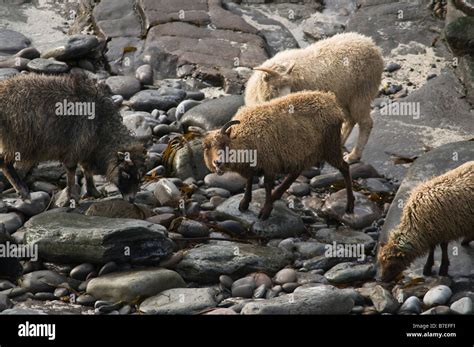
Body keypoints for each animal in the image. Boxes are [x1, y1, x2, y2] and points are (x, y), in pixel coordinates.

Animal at [0, 73, 146, 204]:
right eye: (126, 174)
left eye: (140, 177)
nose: (132, 200)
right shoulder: (76, 146)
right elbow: (71, 170)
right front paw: (70, 197)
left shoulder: (86, 148)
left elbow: (86, 169)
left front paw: (94, 192)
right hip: (15, 141)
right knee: (4, 162)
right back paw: (23, 191)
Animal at [203, 89, 356, 220]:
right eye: (206, 147)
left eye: (224, 143)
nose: (218, 162)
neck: (243, 137)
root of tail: (330, 100)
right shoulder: (254, 165)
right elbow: (249, 181)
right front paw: (244, 203)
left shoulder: (269, 162)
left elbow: (267, 184)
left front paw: (265, 211)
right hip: (304, 152)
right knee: (296, 172)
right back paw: (277, 194)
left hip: (330, 146)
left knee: (344, 167)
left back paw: (350, 205)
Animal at [244, 32, 386, 163]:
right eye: (274, 87)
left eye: (290, 87)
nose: (287, 104)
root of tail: (372, 45)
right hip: (344, 97)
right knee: (350, 120)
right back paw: (339, 143)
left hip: (361, 93)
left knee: (365, 123)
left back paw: (353, 156)